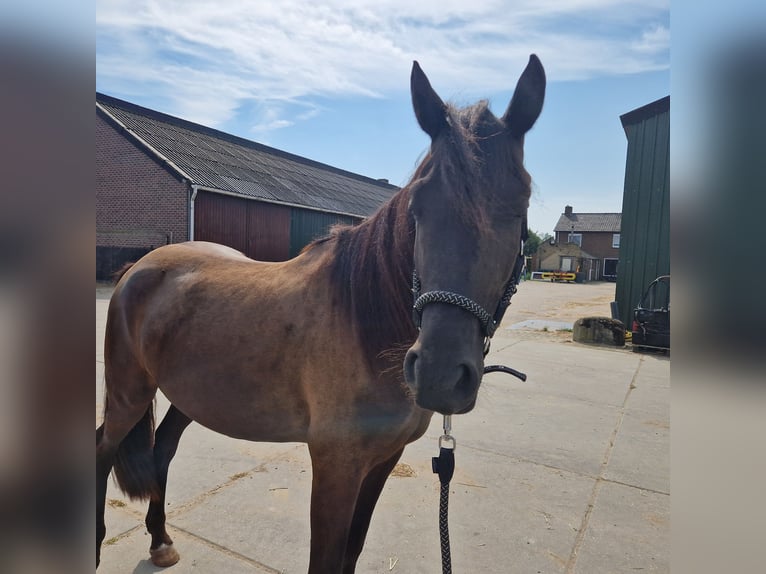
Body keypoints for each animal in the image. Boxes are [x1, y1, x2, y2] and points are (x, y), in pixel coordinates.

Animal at [96, 53, 544, 572]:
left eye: (519, 206)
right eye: (418, 205)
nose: (439, 375)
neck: (368, 326)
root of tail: (138, 267)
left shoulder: (383, 460)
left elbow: (352, 550)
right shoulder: (336, 466)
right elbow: (327, 558)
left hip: (188, 393)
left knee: (163, 450)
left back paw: (160, 539)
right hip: (129, 392)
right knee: (102, 447)